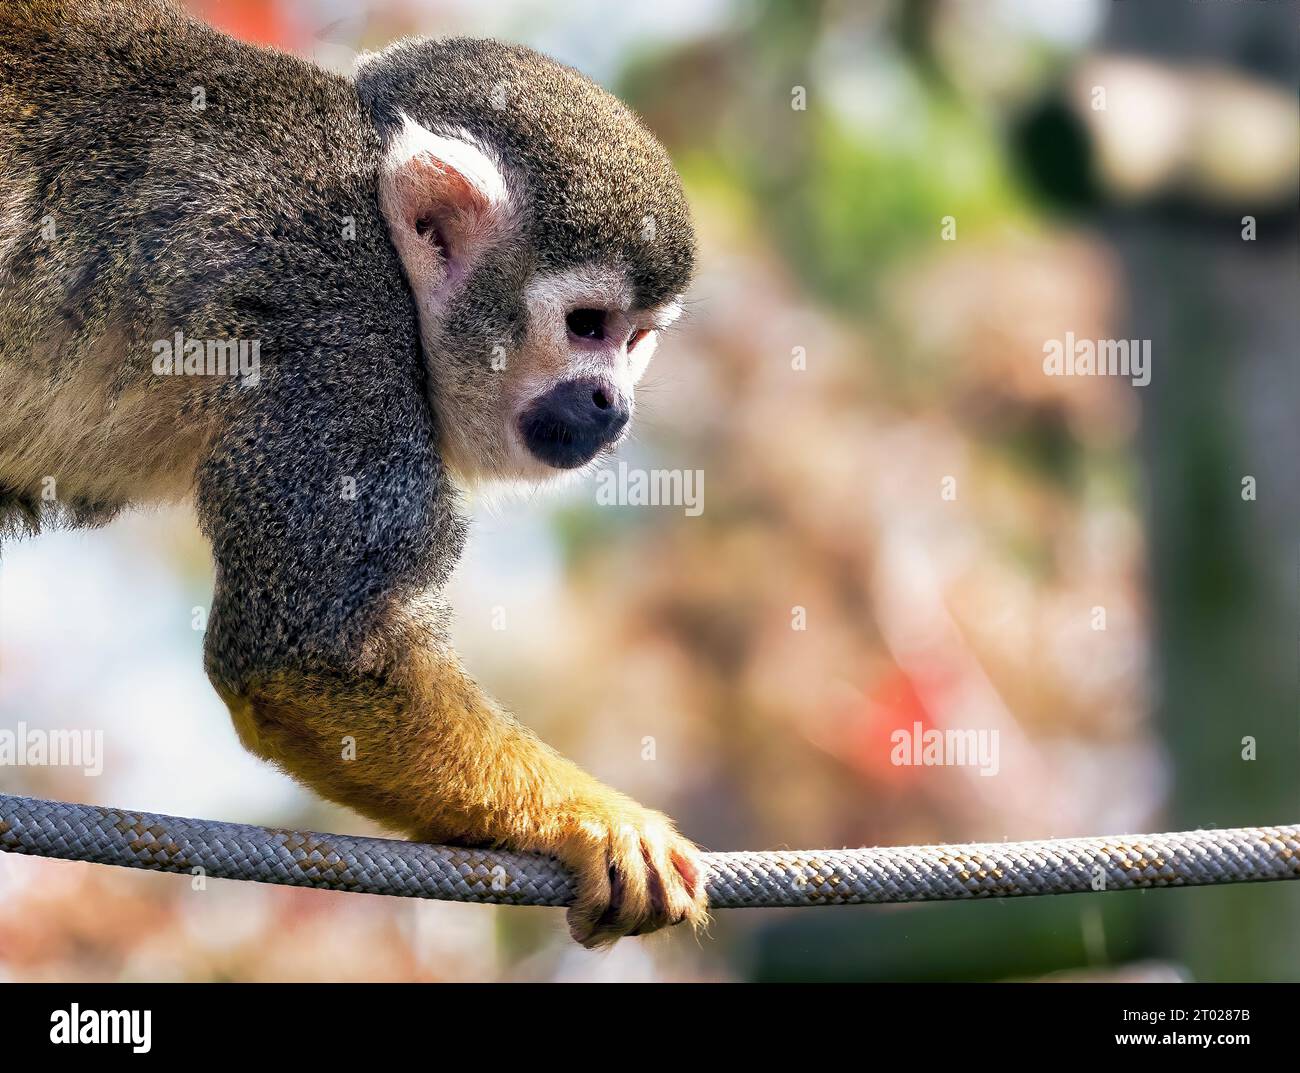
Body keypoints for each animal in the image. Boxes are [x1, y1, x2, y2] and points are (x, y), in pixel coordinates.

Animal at [0, 0, 706, 946]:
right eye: (587, 325)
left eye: (636, 341)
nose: (611, 401)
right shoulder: (342, 329)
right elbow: (312, 658)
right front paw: (592, 821)